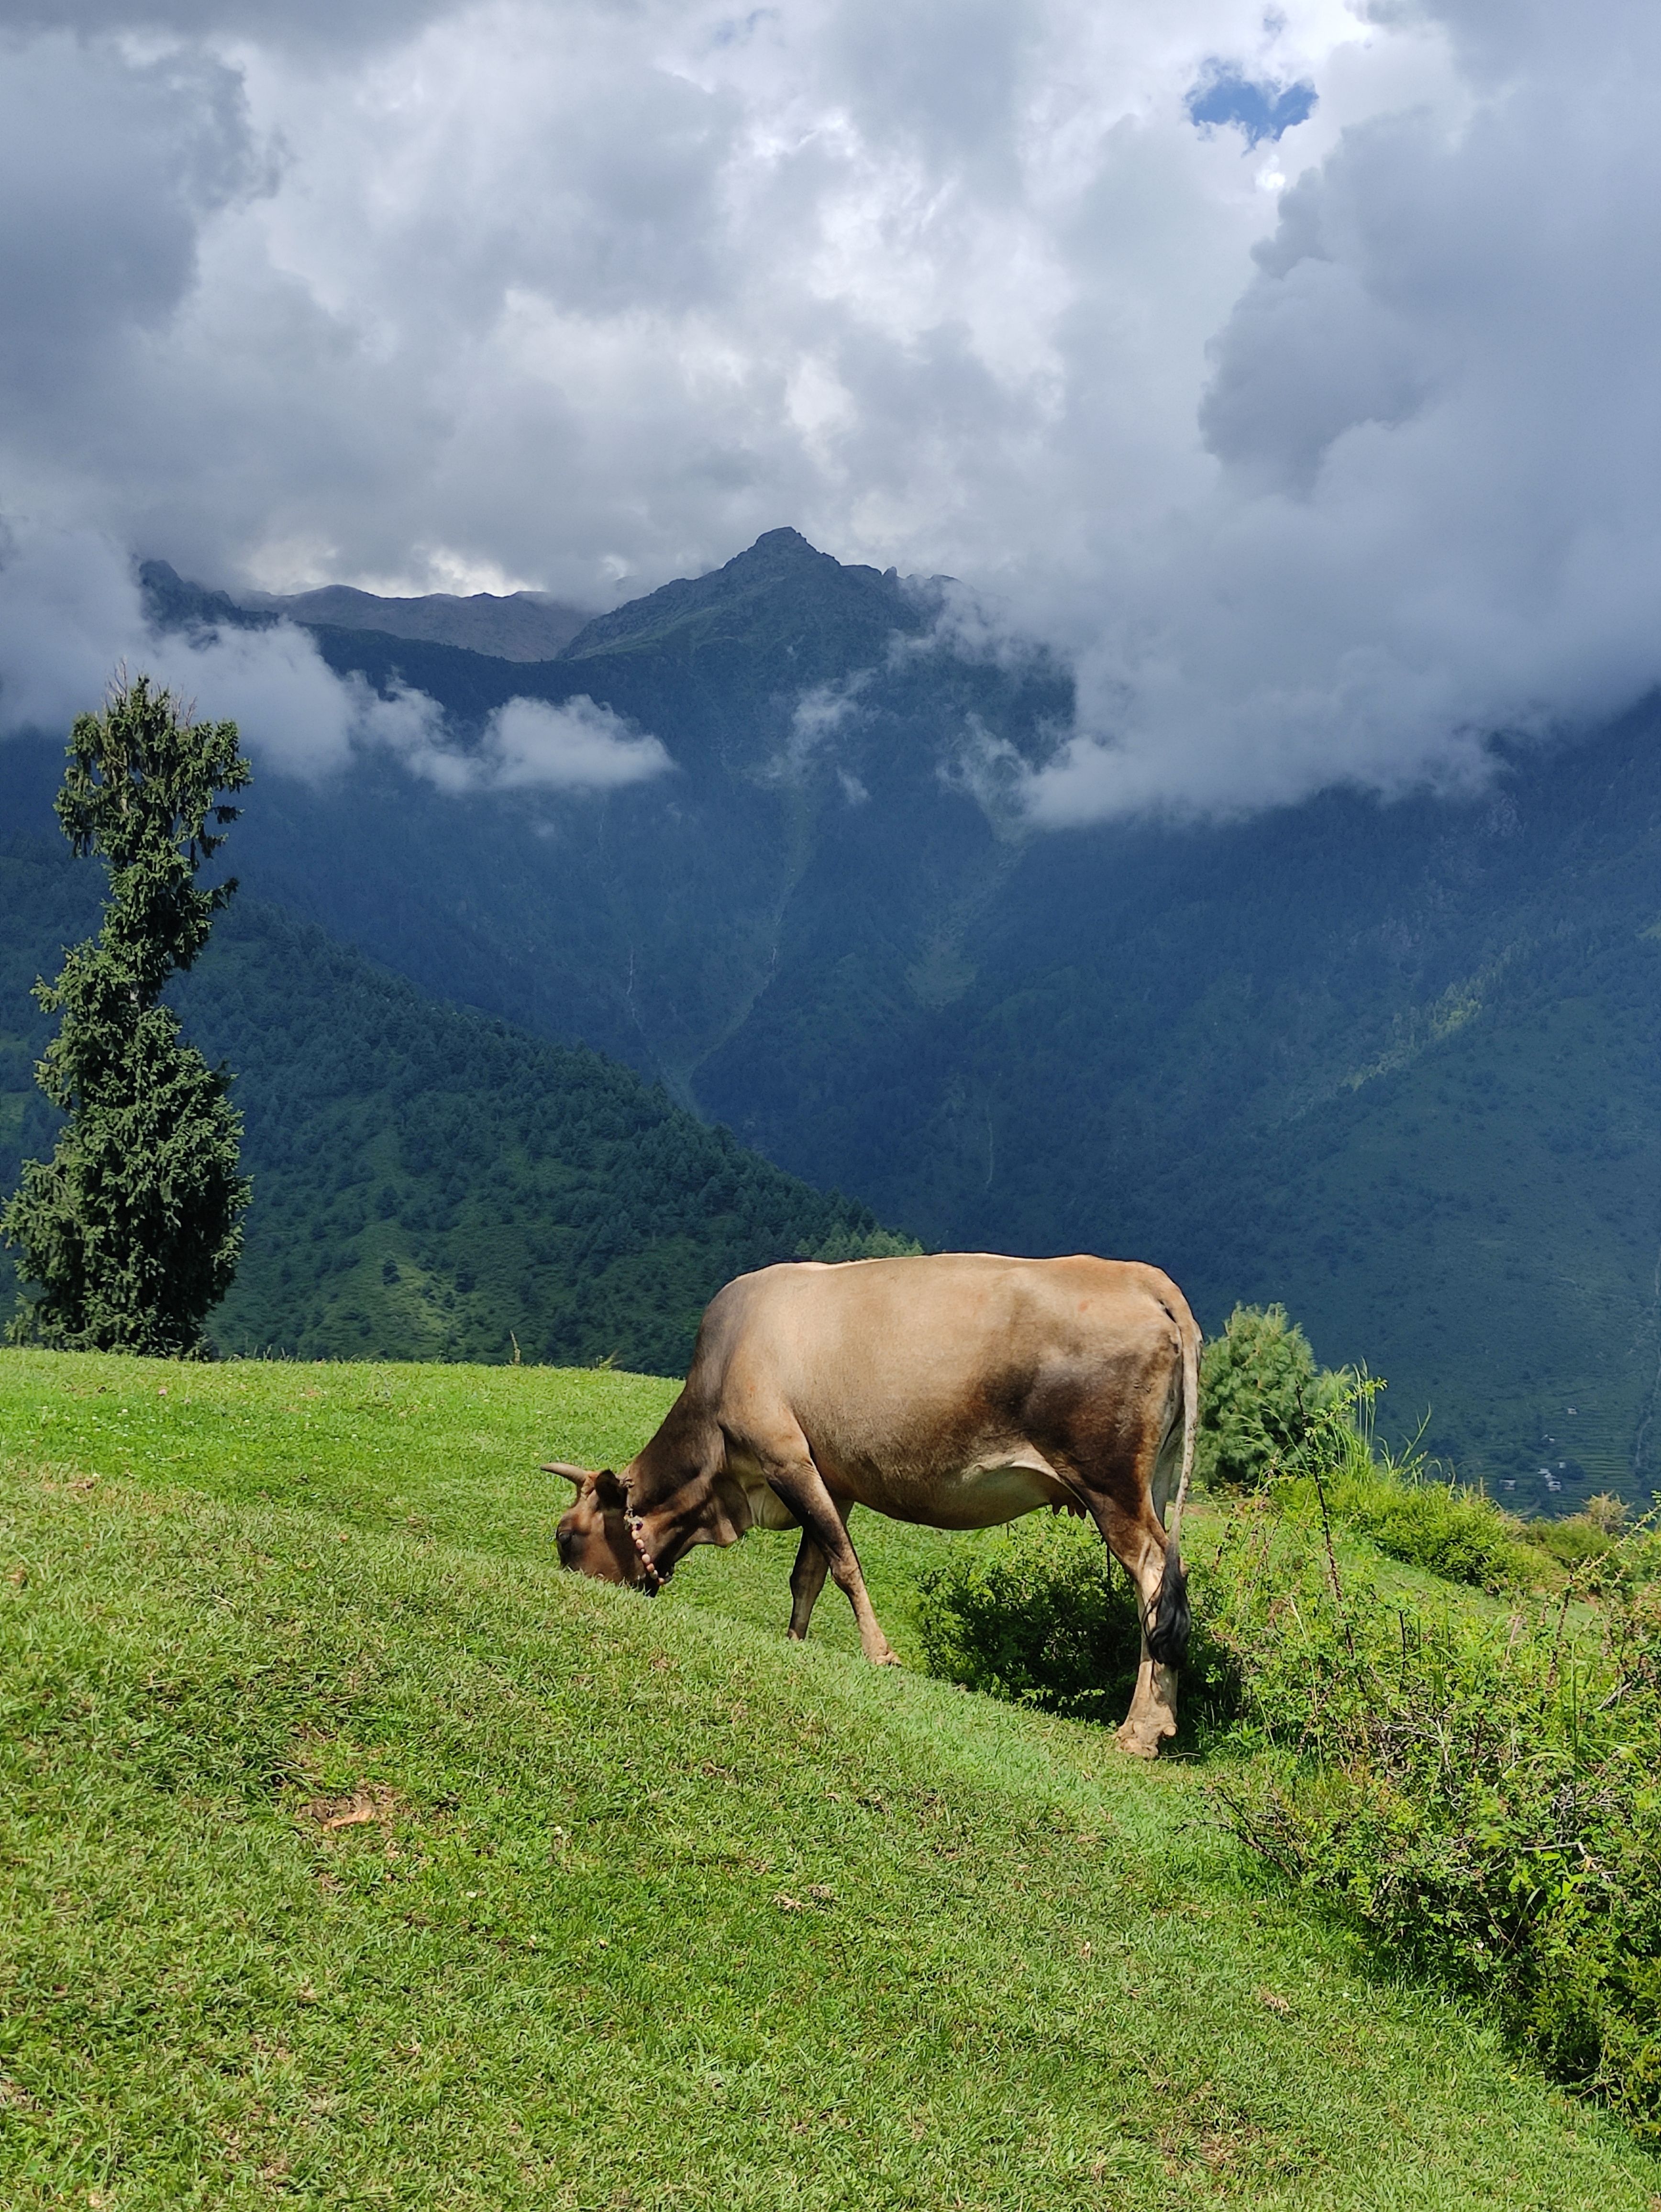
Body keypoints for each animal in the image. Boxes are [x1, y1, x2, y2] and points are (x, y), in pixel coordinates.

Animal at [543, 1251, 1199, 1755]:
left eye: (565, 1536)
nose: (570, 1580)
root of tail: (1143, 1278)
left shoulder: (785, 1457)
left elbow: (842, 1563)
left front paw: (878, 1653)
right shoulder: (830, 1479)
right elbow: (807, 1572)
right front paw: (795, 1641)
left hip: (1108, 1482)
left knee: (1151, 1574)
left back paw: (1139, 1731)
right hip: (1154, 1480)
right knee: (1163, 1587)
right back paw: (1158, 1721)